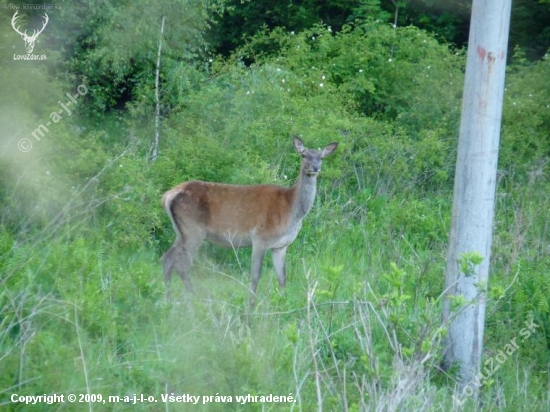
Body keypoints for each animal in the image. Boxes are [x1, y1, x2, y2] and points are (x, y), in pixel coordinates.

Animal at [162, 136, 338, 306]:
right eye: (303, 155)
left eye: (321, 157)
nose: (315, 167)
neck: (292, 210)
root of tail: (167, 196)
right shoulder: (260, 238)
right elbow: (255, 275)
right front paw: (250, 307)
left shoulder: (281, 246)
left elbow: (282, 278)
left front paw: (283, 303)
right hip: (193, 230)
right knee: (182, 265)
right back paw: (194, 300)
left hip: (181, 232)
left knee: (167, 259)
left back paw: (168, 300)